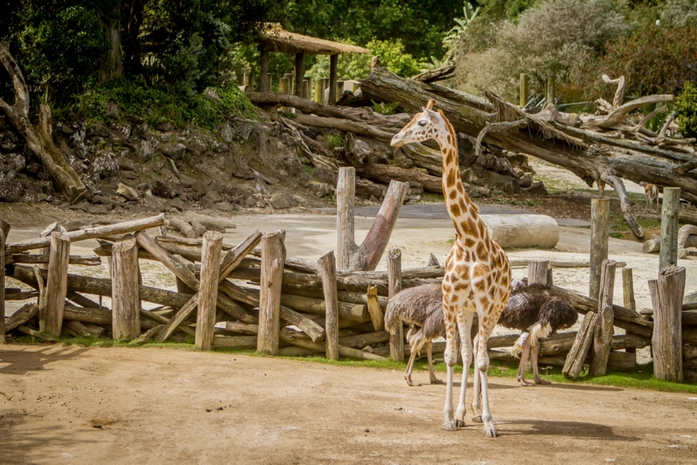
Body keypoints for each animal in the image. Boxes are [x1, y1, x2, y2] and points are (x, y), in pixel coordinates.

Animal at [392, 99, 512, 436]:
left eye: (422, 123)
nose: (395, 139)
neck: (469, 240)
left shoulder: (485, 304)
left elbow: (483, 361)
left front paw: (489, 422)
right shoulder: (452, 301)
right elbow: (452, 355)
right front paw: (448, 417)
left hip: (495, 308)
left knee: (481, 351)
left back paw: (477, 412)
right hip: (466, 311)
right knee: (469, 351)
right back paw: (463, 412)